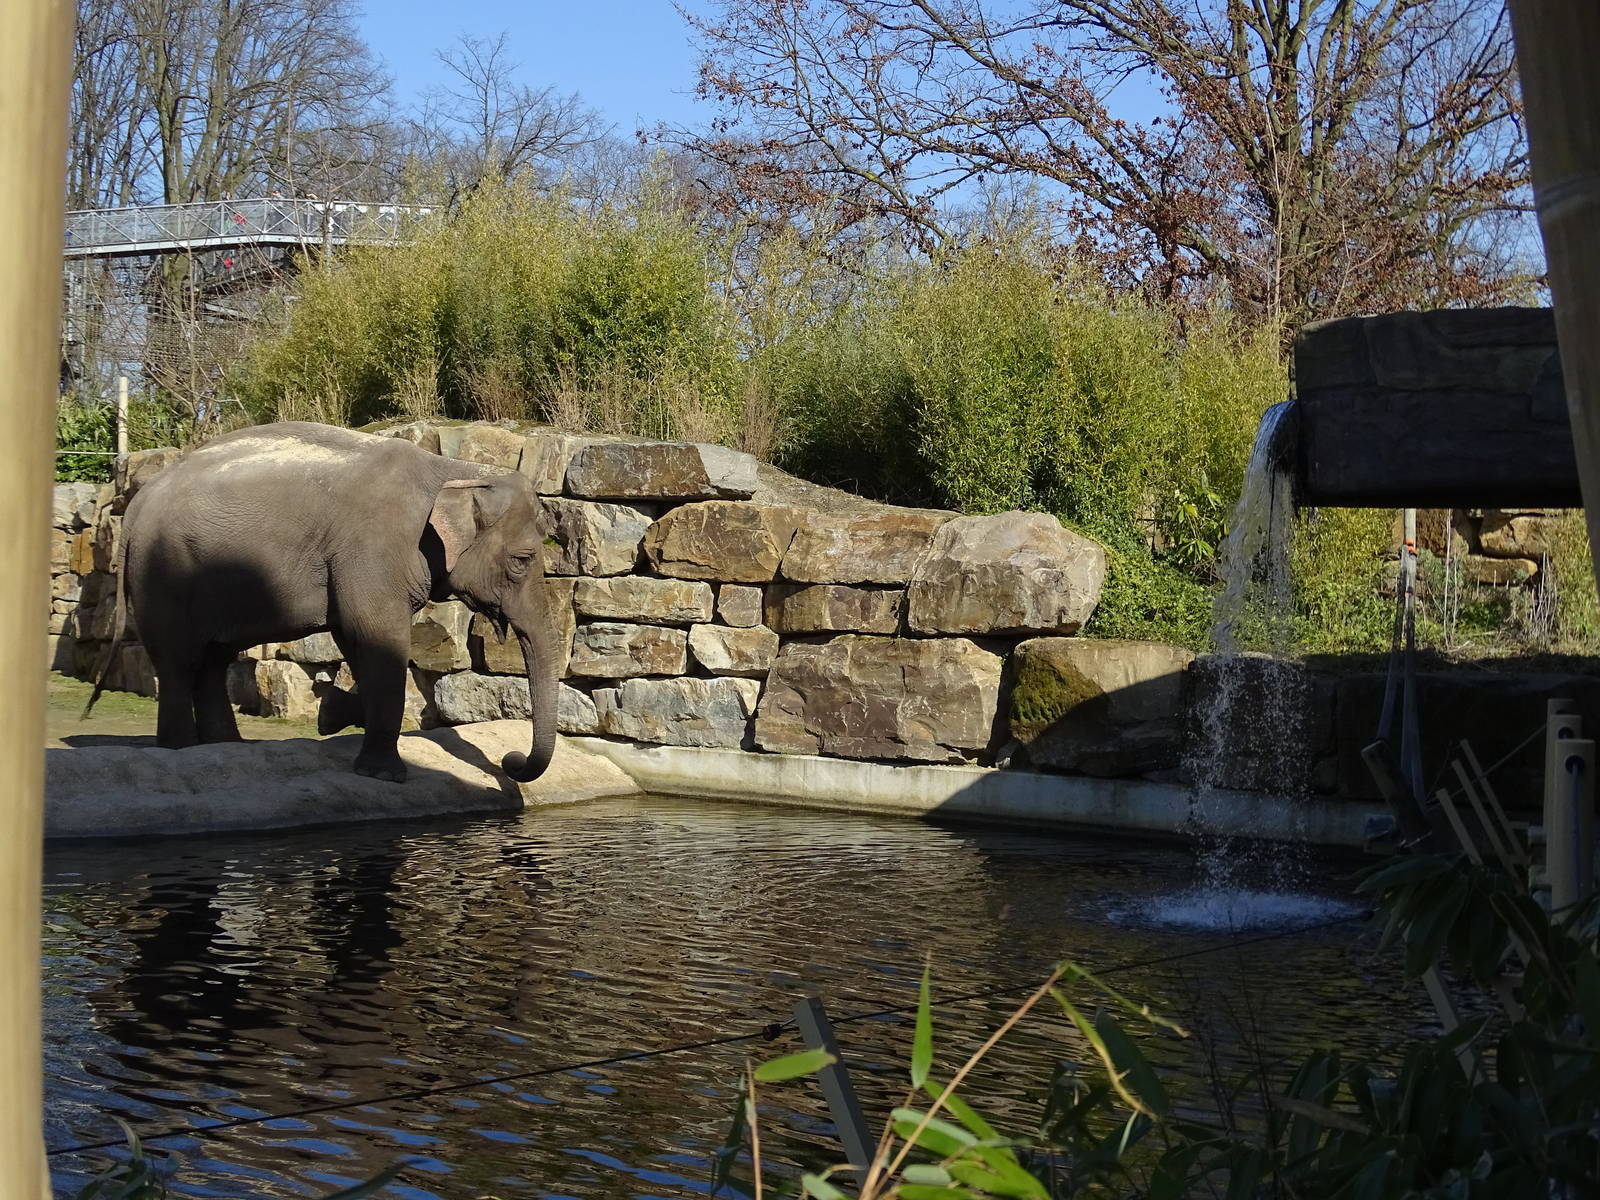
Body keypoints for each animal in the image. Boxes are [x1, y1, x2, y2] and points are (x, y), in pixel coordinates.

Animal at [86, 421, 557, 784]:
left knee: (213, 661)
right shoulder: (374, 552)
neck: (456, 470)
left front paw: (330, 714)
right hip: (162, 577)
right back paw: (181, 750)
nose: (511, 761)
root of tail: (134, 506)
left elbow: (356, 638)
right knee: (179, 661)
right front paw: (383, 774)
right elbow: (376, 636)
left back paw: (224, 745)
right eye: (523, 560)